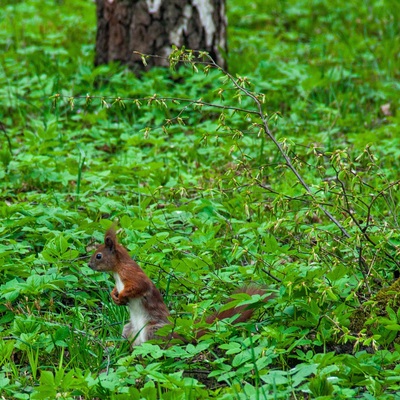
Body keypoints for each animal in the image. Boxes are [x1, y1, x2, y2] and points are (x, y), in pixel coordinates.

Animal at [87, 228, 268, 346]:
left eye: (99, 256)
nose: (89, 265)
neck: (117, 271)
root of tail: (179, 335)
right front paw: (114, 296)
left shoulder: (132, 275)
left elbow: (138, 286)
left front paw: (122, 296)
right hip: (128, 330)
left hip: (153, 331)